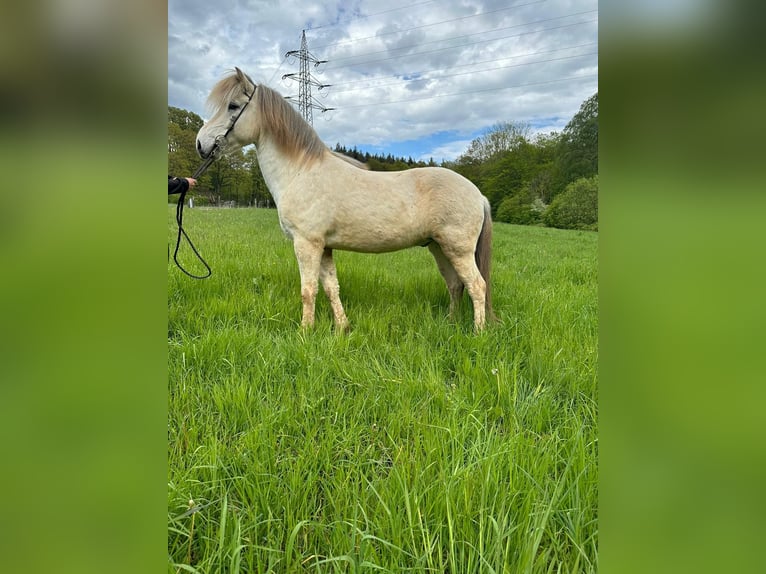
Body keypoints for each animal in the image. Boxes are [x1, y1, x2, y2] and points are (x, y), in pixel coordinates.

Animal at [196, 68, 498, 332]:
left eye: (233, 106)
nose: (201, 144)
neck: (301, 172)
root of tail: (478, 194)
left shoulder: (307, 244)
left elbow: (308, 290)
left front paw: (305, 332)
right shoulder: (325, 247)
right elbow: (331, 288)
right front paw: (343, 328)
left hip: (458, 250)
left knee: (477, 286)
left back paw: (477, 332)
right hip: (438, 247)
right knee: (456, 285)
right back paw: (451, 323)